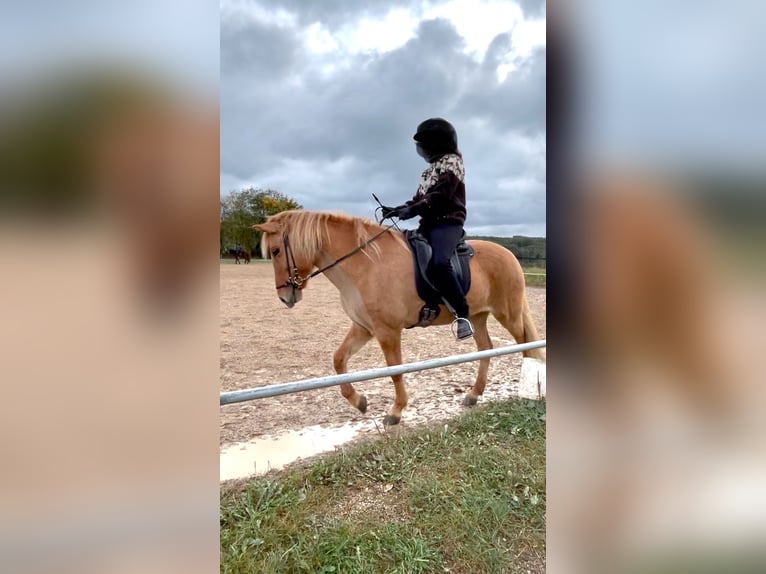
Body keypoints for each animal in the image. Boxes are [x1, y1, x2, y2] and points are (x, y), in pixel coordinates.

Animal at [258, 212, 544, 428]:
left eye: (275, 251)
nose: (285, 297)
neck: (366, 264)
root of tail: (509, 255)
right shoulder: (363, 328)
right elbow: (339, 360)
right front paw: (359, 401)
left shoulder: (387, 331)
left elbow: (395, 371)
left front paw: (395, 413)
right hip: (477, 316)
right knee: (486, 350)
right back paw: (473, 395)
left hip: (508, 314)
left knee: (525, 346)